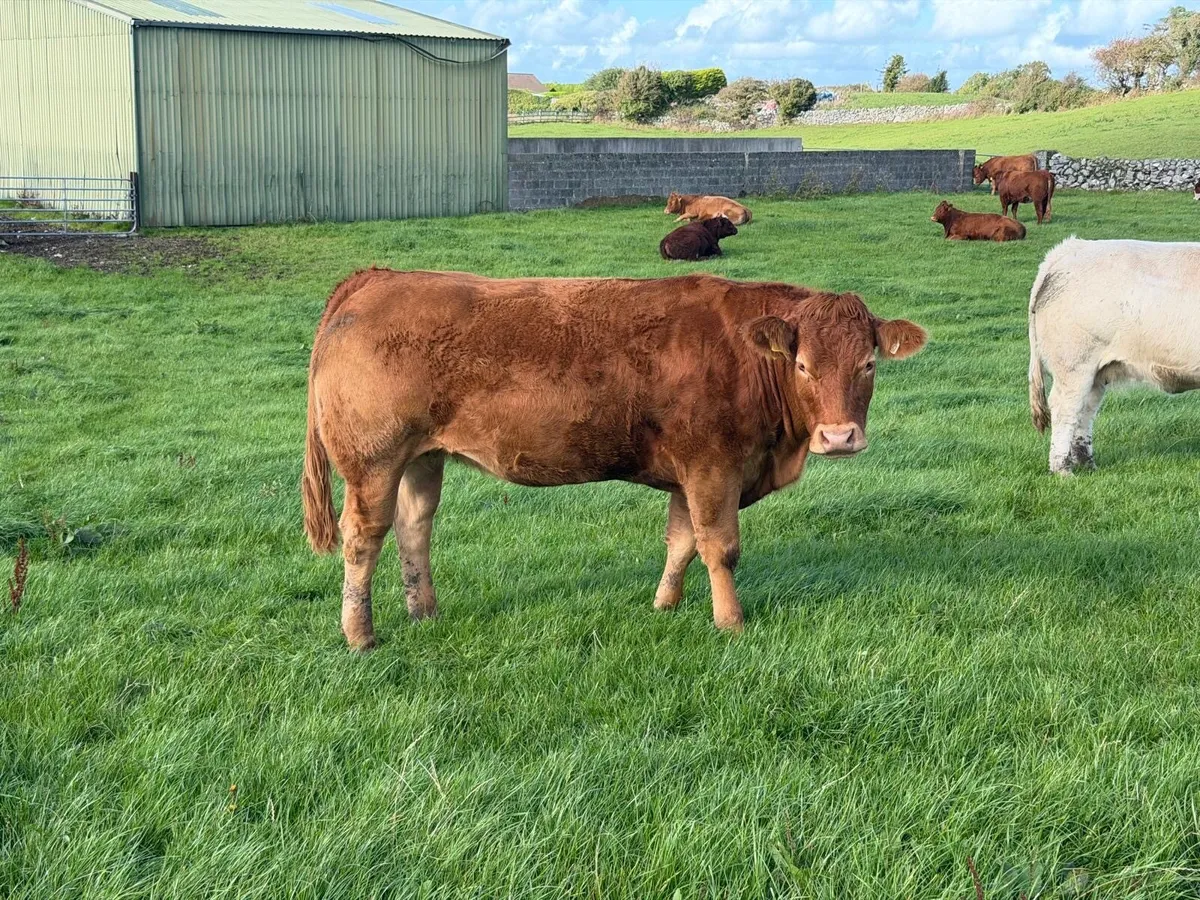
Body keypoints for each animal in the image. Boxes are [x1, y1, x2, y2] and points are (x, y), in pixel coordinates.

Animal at [303, 270, 927, 650]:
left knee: (414, 528)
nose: (840, 437)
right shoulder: (713, 467)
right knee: (363, 537)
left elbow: (681, 541)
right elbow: (719, 547)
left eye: (868, 364)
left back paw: (424, 611)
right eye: (803, 366)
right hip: (374, 461)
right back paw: (360, 635)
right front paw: (731, 624)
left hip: (422, 458)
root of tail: (380, 277)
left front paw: (665, 606)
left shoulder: (687, 474)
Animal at [1029, 237, 1200, 474]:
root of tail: (1071, 248)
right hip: (1074, 363)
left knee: (1086, 409)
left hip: (1095, 372)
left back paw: (1087, 464)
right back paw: (1062, 470)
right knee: (1065, 408)